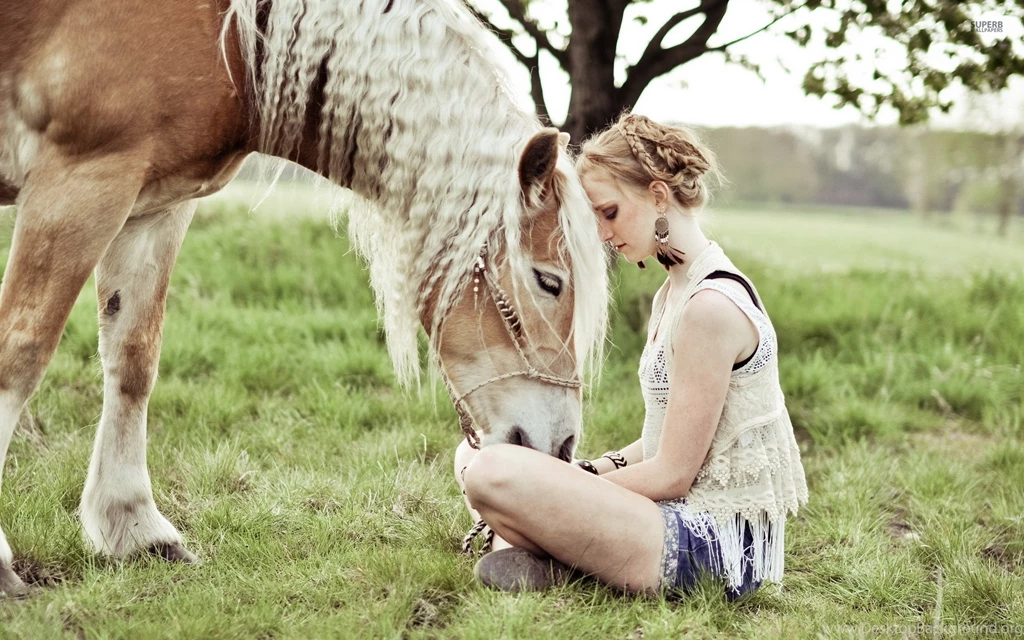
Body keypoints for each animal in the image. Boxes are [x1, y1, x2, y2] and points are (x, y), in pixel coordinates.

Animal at [0, 0, 609, 595]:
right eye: (549, 281)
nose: (562, 446)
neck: (228, 42)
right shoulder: (80, 183)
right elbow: (20, 354)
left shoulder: (153, 207)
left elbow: (132, 362)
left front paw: (135, 529)